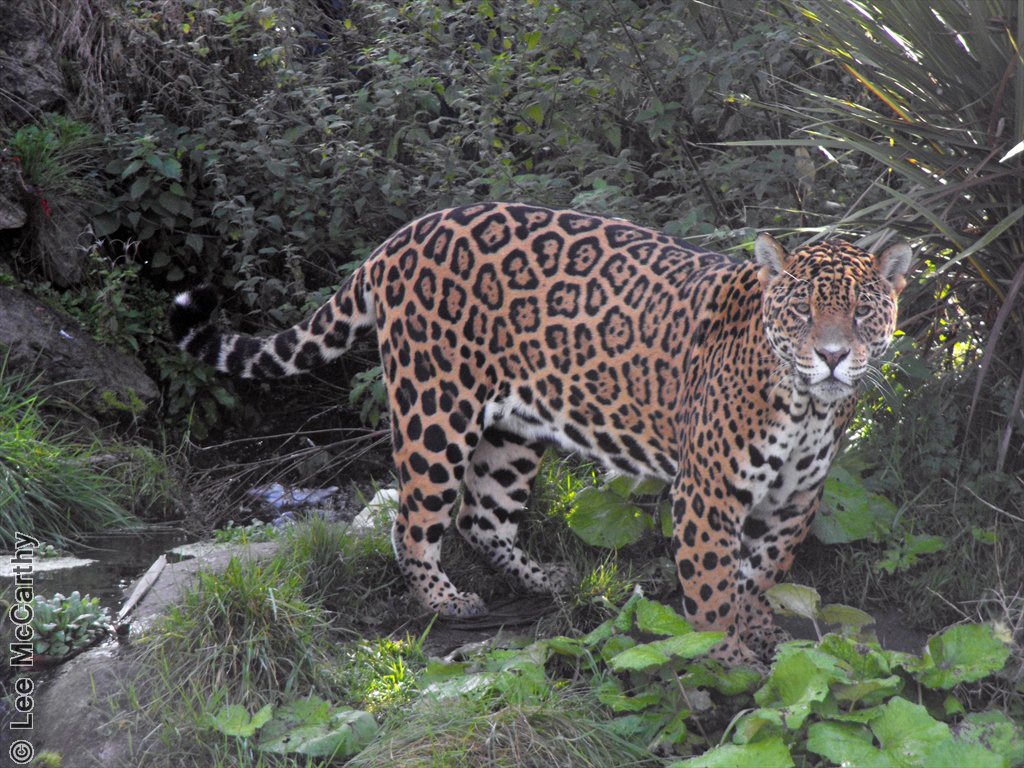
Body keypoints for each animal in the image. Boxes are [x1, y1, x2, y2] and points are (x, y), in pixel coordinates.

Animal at [170, 202, 911, 667]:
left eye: (861, 311)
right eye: (802, 310)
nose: (833, 356)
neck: (806, 404)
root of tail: (399, 238)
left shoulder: (796, 500)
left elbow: (759, 572)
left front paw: (759, 627)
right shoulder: (707, 495)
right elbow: (709, 589)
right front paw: (726, 655)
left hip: (512, 429)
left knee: (481, 516)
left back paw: (550, 580)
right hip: (435, 410)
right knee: (412, 521)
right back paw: (445, 600)